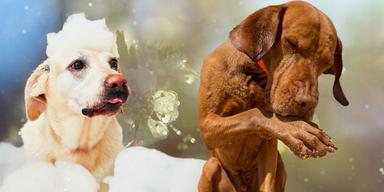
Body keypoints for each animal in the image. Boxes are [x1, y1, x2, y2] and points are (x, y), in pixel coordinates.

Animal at [196, 1, 350, 190]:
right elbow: (253, 114)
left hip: (280, 166)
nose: (307, 102)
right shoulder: (207, 125)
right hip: (211, 166)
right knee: (212, 165)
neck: (253, 74)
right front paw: (297, 129)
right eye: (291, 43)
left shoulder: (269, 150)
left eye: (327, 63)